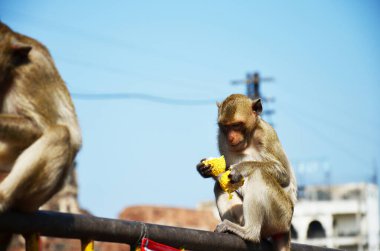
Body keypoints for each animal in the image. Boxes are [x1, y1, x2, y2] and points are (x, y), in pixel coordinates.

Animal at [197, 94, 298, 251]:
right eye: (225, 127)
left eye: (236, 125)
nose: (231, 137)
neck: (248, 139)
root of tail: (287, 229)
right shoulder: (221, 138)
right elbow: (225, 177)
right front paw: (206, 170)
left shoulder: (266, 135)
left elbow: (283, 174)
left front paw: (240, 168)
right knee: (221, 186)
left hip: (282, 216)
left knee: (259, 175)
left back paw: (249, 233)